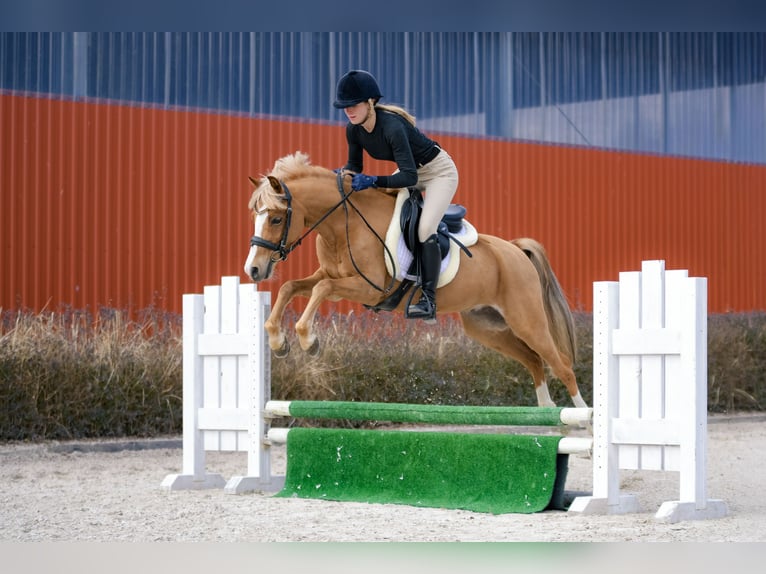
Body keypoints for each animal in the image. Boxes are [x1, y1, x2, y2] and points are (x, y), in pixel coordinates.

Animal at [243, 152, 587, 408]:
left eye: (276, 218)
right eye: (255, 216)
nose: (254, 270)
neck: (343, 225)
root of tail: (515, 250)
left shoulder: (370, 288)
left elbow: (321, 290)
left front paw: (308, 341)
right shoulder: (332, 278)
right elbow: (294, 287)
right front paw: (279, 342)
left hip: (527, 320)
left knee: (561, 365)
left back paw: (581, 421)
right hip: (487, 327)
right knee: (534, 361)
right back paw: (547, 411)